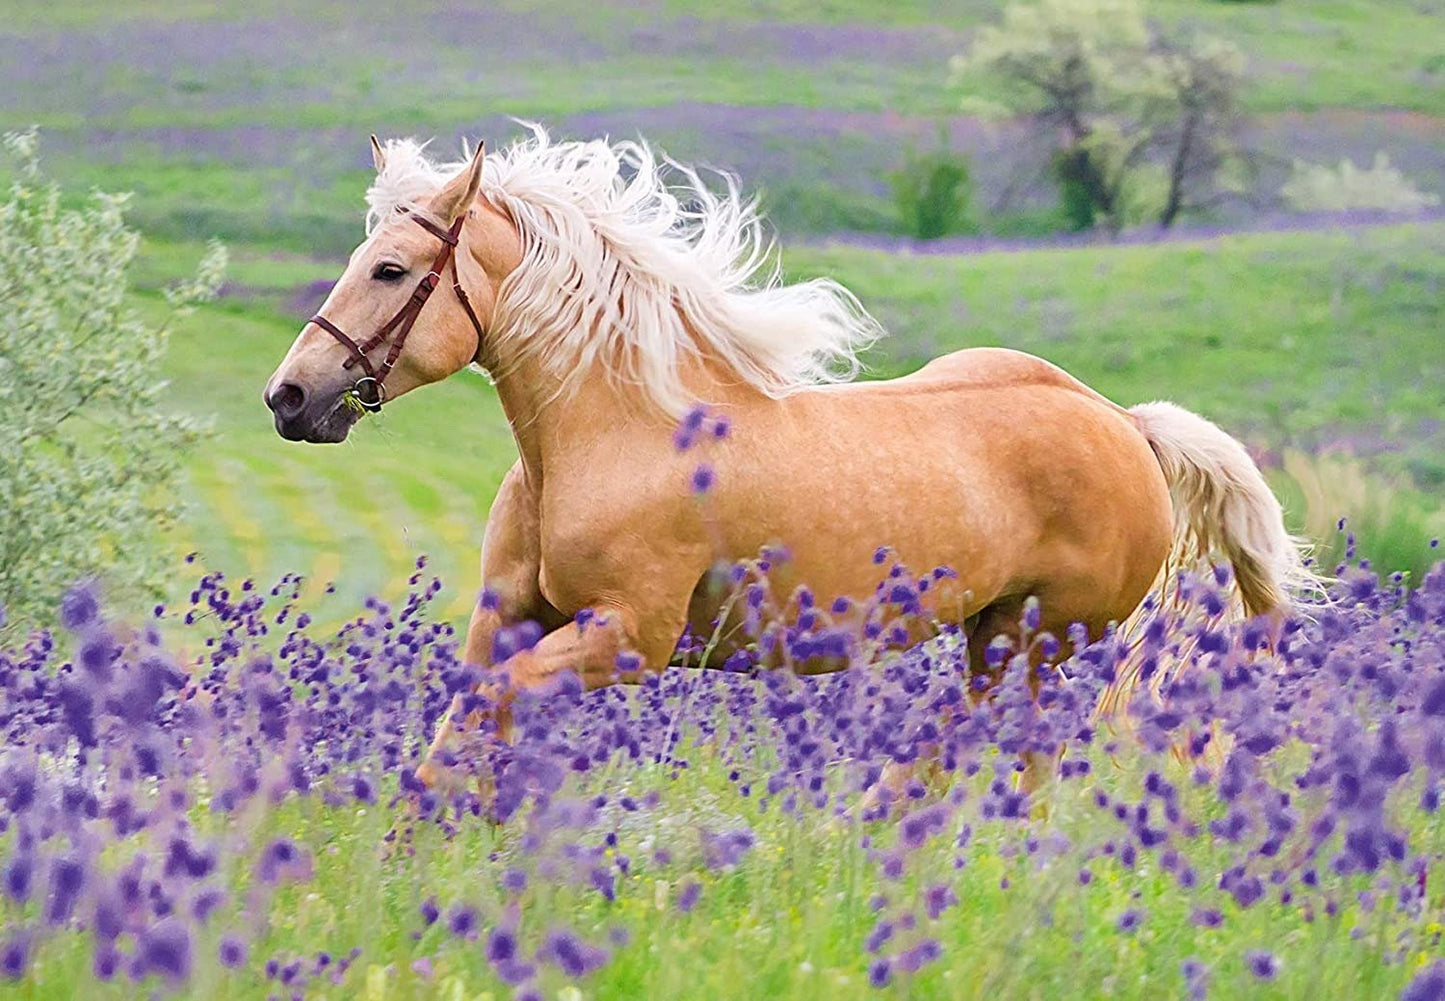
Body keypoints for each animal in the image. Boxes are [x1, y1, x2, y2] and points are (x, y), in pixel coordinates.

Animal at [263, 126, 1317, 796]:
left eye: (391, 270)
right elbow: (459, 734)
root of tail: (1122, 423)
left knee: (998, 750)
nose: (291, 397)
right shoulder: (512, 620)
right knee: (987, 749)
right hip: (995, 635)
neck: (613, 433)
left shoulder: (627, 638)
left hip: (1039, 640)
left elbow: (489, 720)